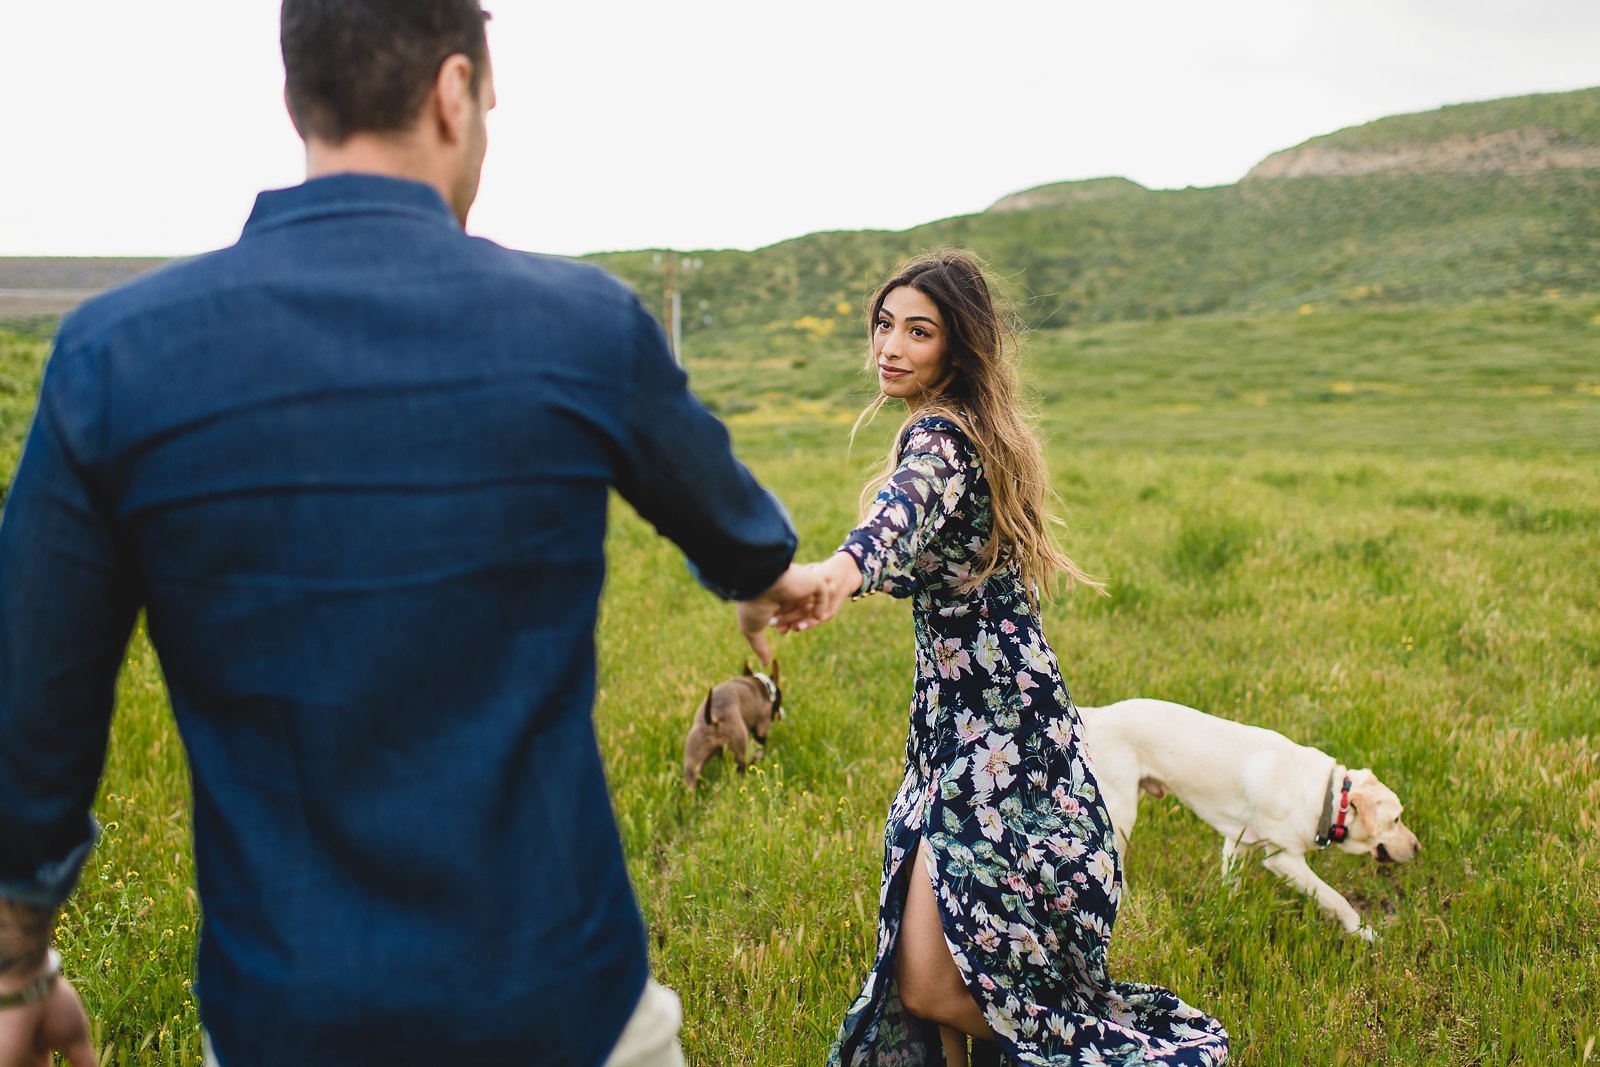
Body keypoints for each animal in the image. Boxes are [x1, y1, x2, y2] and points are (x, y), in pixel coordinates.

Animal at [681, 662, 787, 790]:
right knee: (742, 769)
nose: (782, 713)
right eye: (779, 700)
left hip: (692, 761)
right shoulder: (762, 726)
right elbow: (761, 747)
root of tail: (714, 717)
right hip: (739, 751)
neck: (761, 685)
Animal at [1081, 700, 1420, 940]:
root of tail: (1096, 715)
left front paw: (1227, 913)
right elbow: (1335, 899)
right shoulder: (1283, 859)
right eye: (1396, 820)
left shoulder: (1237, 841)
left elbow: (1230, 883)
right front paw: (1365, 933)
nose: (1418, 848)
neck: (1330, 796)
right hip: (1122, 811)